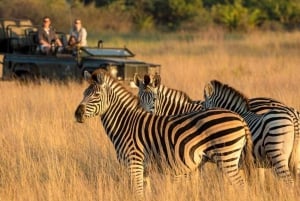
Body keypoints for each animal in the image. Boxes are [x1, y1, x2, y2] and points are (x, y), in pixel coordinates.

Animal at [74, 69, 253, 199]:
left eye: (96, 95)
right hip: (230, 158)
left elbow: (137, 194)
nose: (77, 114)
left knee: (242, 186)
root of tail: (239, 117)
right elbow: (144, 194)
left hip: (226, 157)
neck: (126, 123)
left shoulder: (134, 163)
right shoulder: (144, 169)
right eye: (83, 94)